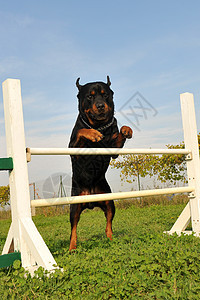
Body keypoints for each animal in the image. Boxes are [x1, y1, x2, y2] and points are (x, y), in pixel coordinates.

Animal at [69, 76, 133, 250]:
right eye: (89, 97)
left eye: (105, 95)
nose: (100, 105)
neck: (99, 125)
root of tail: (90, 200)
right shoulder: (74, 151)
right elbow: (81, 131)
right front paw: (92, 134)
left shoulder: (113, 151)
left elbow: (120, 134)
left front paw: (126, 129)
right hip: (74, 206)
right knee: (73, 229)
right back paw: (72, 248)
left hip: (109, 202)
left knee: (108, 224)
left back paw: (111, 240)